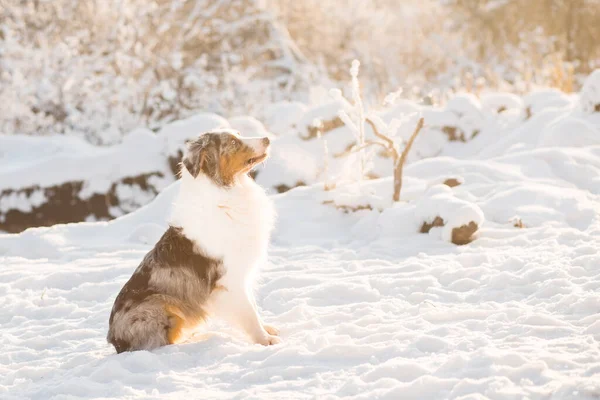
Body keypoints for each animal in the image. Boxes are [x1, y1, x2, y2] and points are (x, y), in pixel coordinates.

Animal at [105, 130, 278, 352]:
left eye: (238, 134)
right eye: (232, 142)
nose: (267, 138)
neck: (224, 192)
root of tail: (113, 340)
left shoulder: (243, 273)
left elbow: (253, 306)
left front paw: (267, 329)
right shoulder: (228, 279)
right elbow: (249, 313)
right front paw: (265, 340)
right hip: (162, 307)